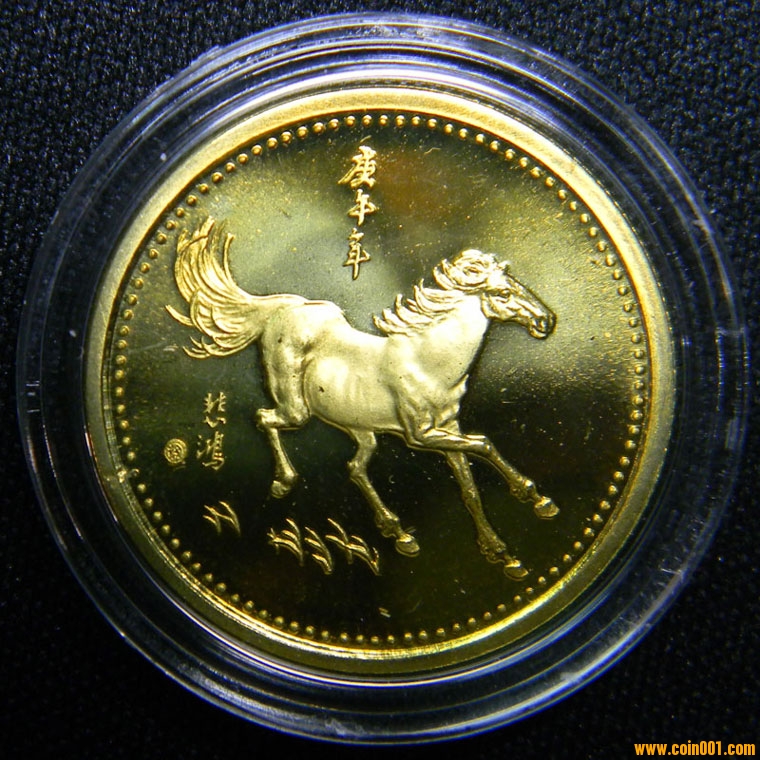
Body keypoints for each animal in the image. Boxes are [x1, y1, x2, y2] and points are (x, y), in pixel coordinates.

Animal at [167, 217, 558, 578]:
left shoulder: (448, 427)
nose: (547, 321)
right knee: (265, 418)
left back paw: (399, 534)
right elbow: (484, 443)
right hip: (297, 410)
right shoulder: (421, 435)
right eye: (503, 294)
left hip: (361, 428)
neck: (430, 361)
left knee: (355, 467)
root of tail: (284, 309)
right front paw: (534, 496)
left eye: (517, 284)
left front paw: (504, 554)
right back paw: (285, 482)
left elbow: (470, 486)